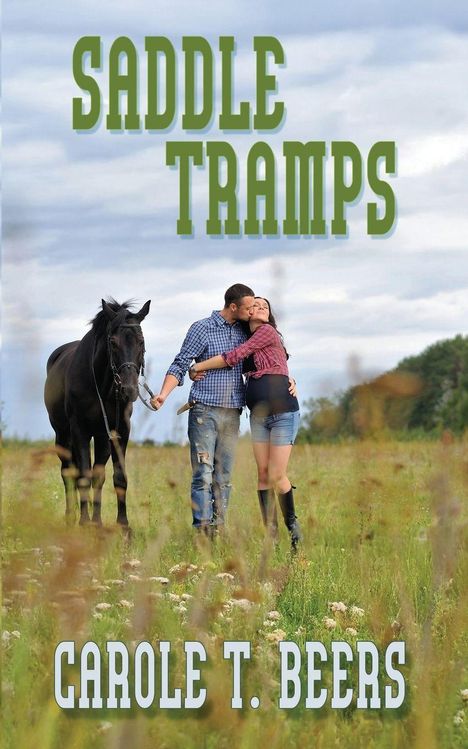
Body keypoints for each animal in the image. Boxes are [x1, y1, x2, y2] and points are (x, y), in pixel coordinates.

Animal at [44, 298, 151, 529]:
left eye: (141, 341)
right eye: (113, 342)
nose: (129, 390)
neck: (101, 386)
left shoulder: (119, 431)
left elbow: (117, 477)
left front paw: (122, 526)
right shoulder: (80, 430)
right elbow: (82, 476)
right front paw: (84, 523)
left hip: (101, 437)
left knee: (97, 475)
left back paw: (96, 521)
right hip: (63, 435)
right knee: (68, 473)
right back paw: (71, 518)